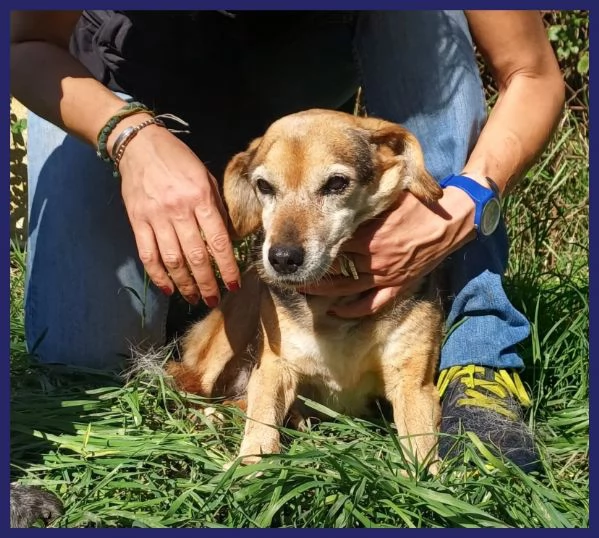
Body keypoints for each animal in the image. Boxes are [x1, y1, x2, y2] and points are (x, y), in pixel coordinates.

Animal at [168, 109, 446, 468]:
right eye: (264, 186)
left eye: (336, 183)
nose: (282, 258)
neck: (336, 308)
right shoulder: (275, 367)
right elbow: (260, 429)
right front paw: (250, 468)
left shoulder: (414, 384)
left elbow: (420, 457)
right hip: (235, 324)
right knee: (198, 388)